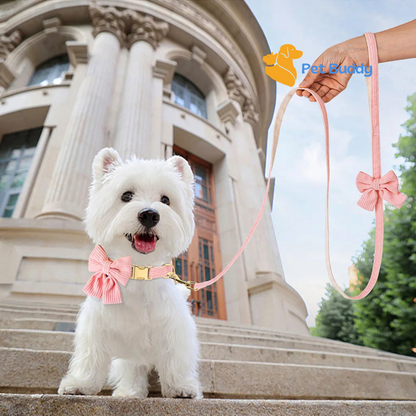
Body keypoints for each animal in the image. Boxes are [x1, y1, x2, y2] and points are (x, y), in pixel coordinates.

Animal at [58, 148, 202, 398]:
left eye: (166, 200)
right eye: (126, 195)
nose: (150, 214)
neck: (137, 271)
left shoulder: (174, 327)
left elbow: (175, 358)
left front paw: (180, 387)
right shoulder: (96, 324)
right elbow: (91, 355)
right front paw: (80, 384)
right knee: (132, 369)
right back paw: (129, 392)